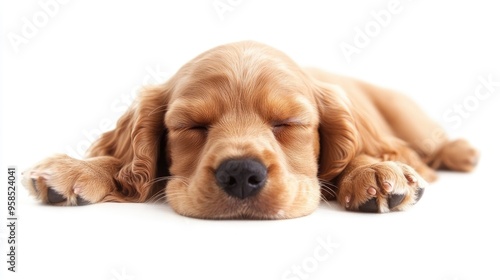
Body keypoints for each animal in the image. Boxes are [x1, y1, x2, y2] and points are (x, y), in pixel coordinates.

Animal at [21, 41, 478, 219]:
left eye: (287, 124)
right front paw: (78, 169)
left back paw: (461, 153)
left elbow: (365, 151)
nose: (241, 173)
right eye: (192, 125)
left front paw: (374, 171)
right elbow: (122, 163)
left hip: (407, 114)